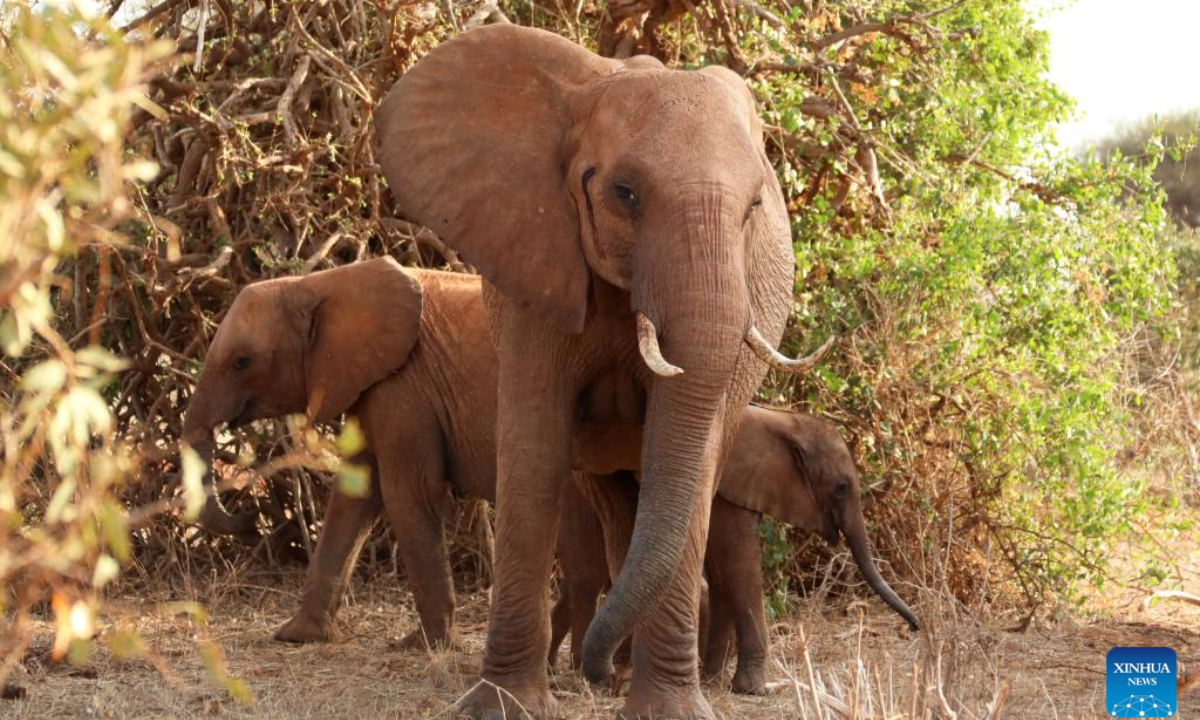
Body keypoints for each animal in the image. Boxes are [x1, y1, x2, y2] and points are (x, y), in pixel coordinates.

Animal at [179, 258, 500, 649]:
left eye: (242, 362)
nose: (252, 511)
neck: (318, 284)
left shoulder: (405, 386)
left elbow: (410, 492)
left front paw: (425, 645)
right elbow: (354, 494)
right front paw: (297, 635)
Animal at [376, 23, 830, 719]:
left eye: (756, 206)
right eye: (626, 193)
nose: (588, 668)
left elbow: (695, 468)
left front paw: (668, 712)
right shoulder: (537, 264)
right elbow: (534, 452)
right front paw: (505, 704)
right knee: (617, 505)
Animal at [549, 406, 920, 696]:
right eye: (842, 488)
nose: (915, 626)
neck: (782, 422)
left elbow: (720, 570)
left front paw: (711, 679)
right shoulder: (731, 485)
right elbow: (737, 563)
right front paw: (753, 688)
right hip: (576, 499)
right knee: (586, 580)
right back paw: (583, 675)